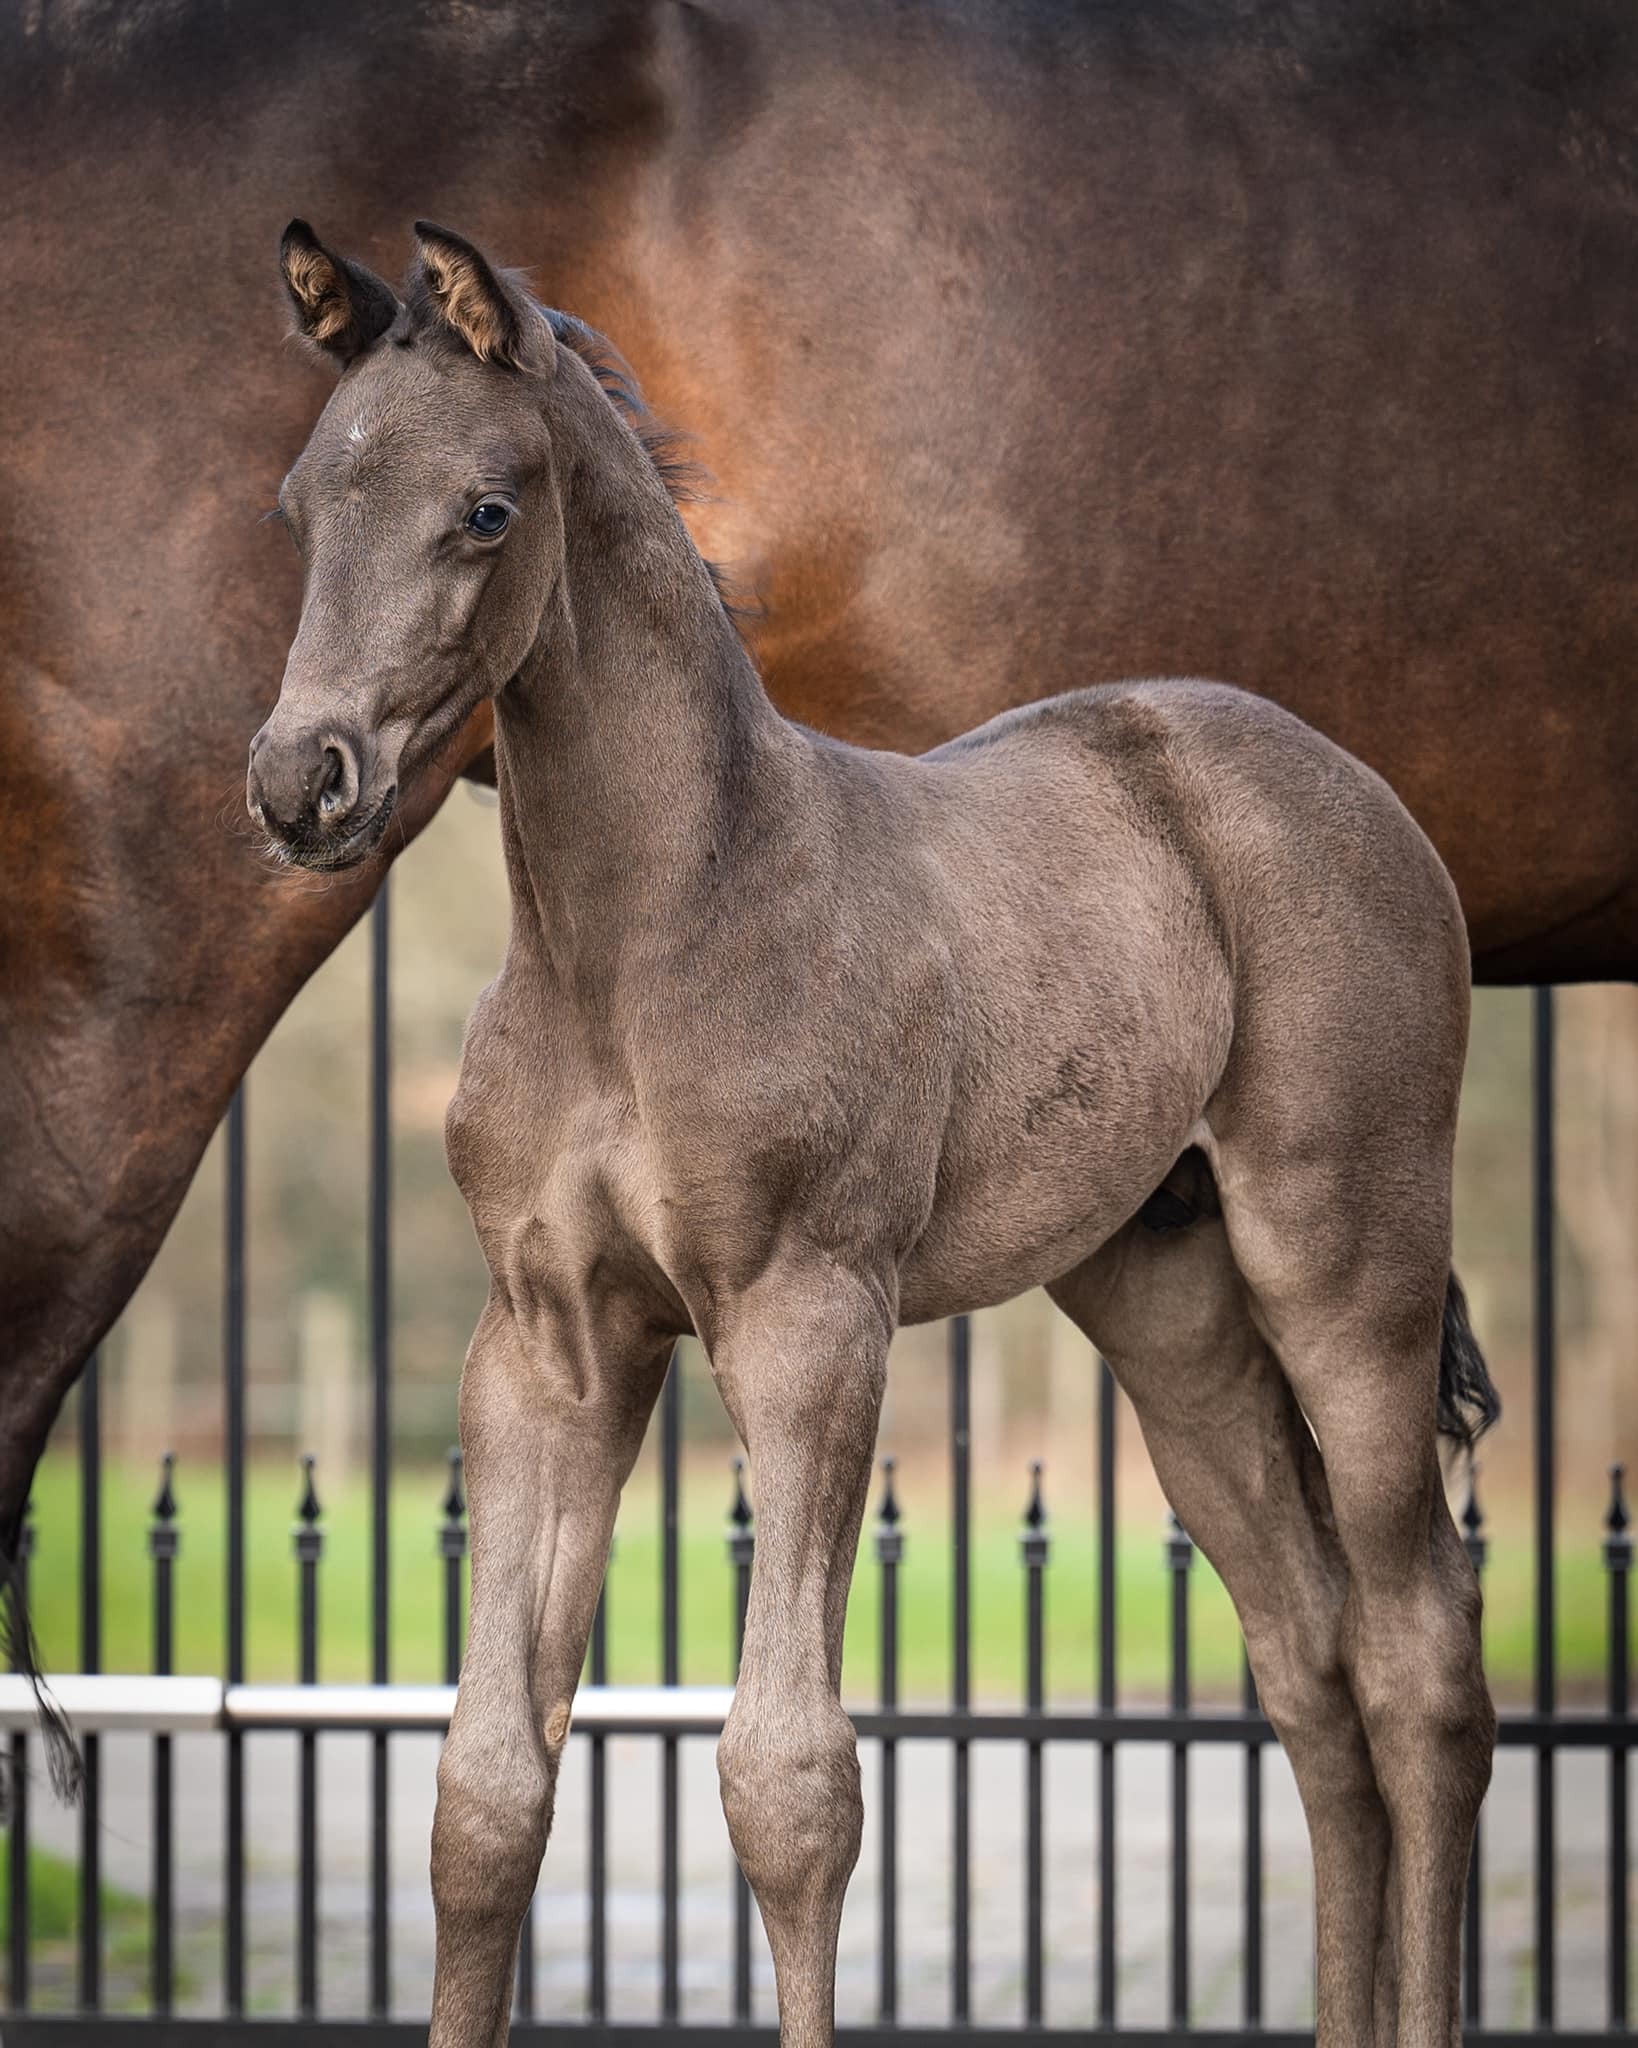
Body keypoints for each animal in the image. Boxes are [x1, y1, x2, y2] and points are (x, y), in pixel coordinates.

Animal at [3, 0, 1637, 1802]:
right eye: (295, 507)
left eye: (485, 508)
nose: (302, 781)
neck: (641, 943)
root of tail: (1336, 780)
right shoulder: (547, 1334)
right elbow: (489, 1775)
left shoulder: (808, 1317)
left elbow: (786, 1768)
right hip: (1172, 1296)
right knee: (1306, 1658)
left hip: (1342, 1263)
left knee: (1419, 1655)